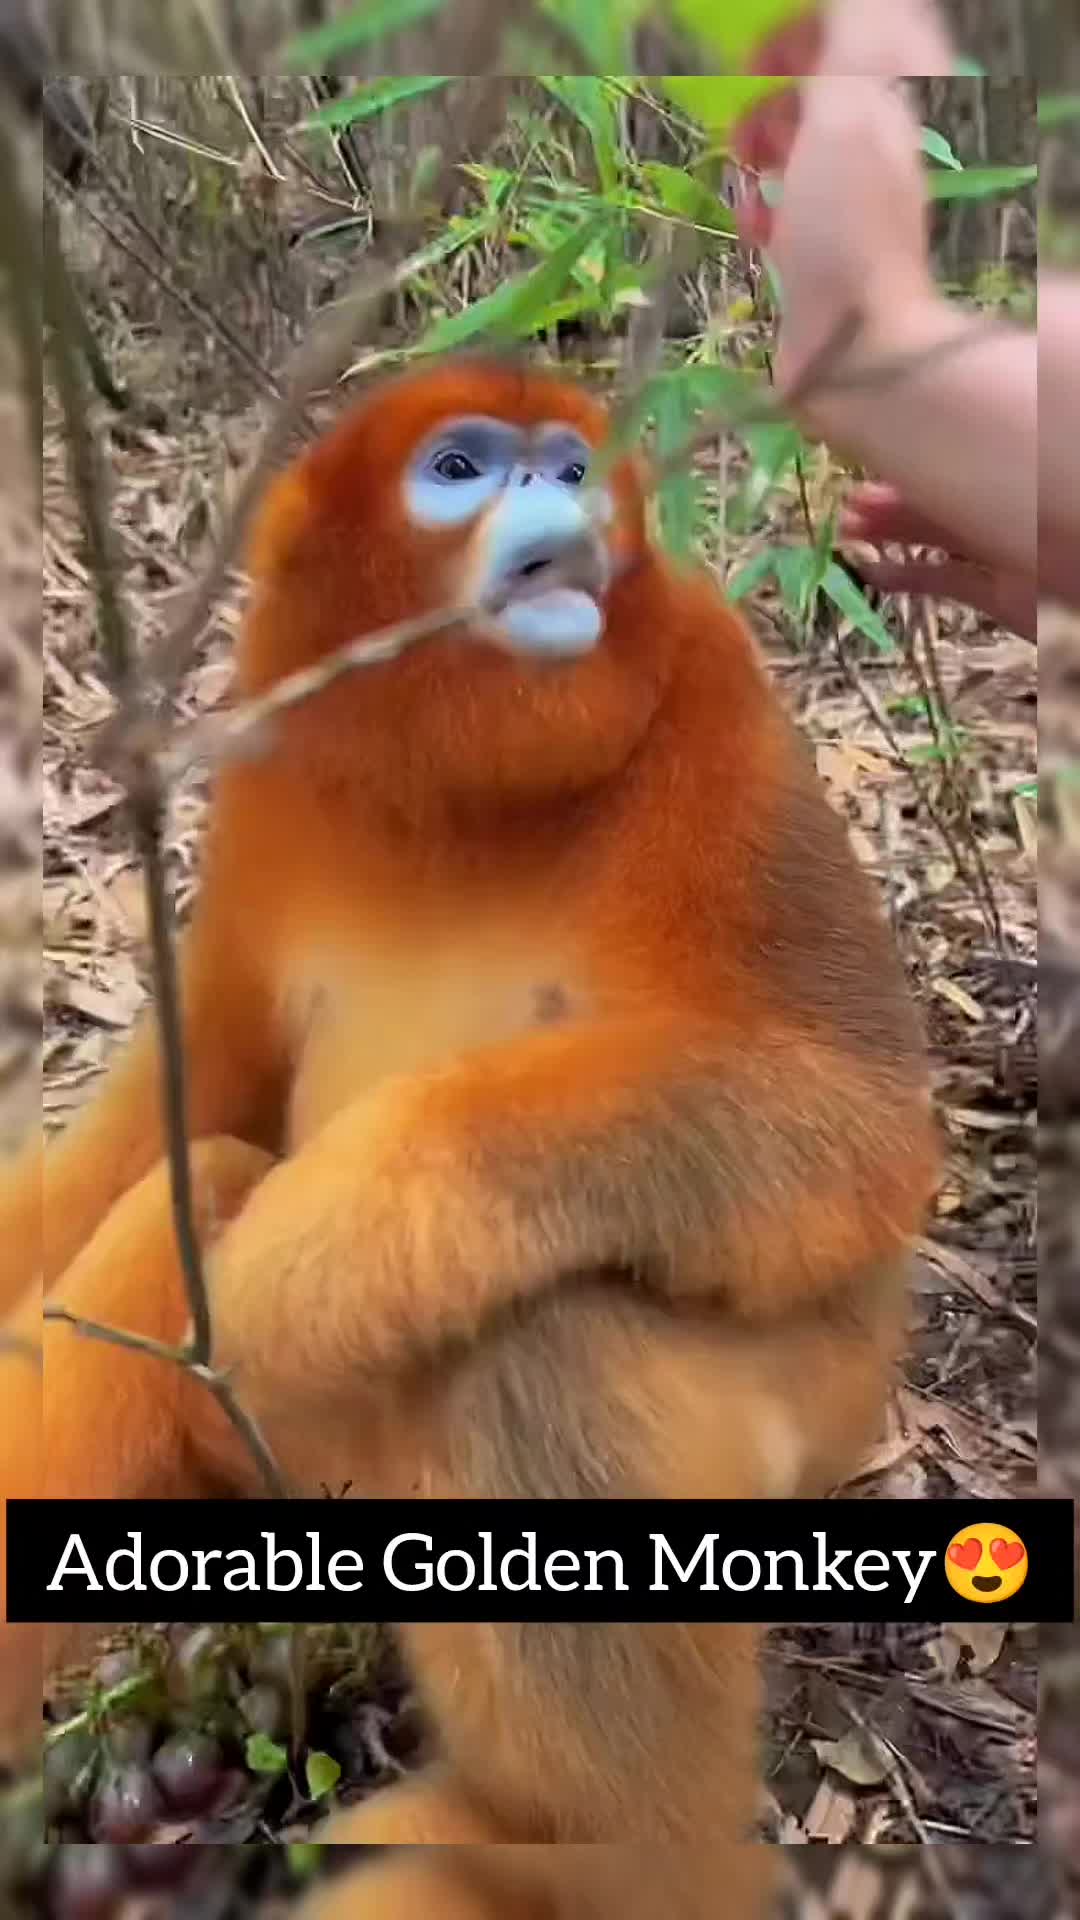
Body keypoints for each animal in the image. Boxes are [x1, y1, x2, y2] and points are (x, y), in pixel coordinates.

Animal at [0, 357, 938, 1911]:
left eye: (569, 463)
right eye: (463, 468)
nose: (561, 503)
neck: (462, 794)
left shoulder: (720, 708)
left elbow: (849, 1119)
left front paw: (315, 1253)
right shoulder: (273, 763)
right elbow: (199, 1099)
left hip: (792, 1436)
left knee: (539, 1339)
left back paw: (585, 1875)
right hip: (298, 1477)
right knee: (192, 1195)